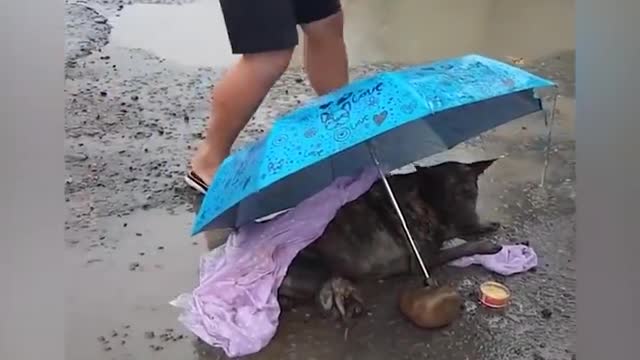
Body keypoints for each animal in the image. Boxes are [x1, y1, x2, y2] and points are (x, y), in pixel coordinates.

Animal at [276, 159, 504, 320]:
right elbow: (461, 247)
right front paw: (485, 244)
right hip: (323, 268)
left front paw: (483, 226)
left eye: (470, 193)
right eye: (448, 196)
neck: (422, 200)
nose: (471, 221)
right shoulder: (423, 259)